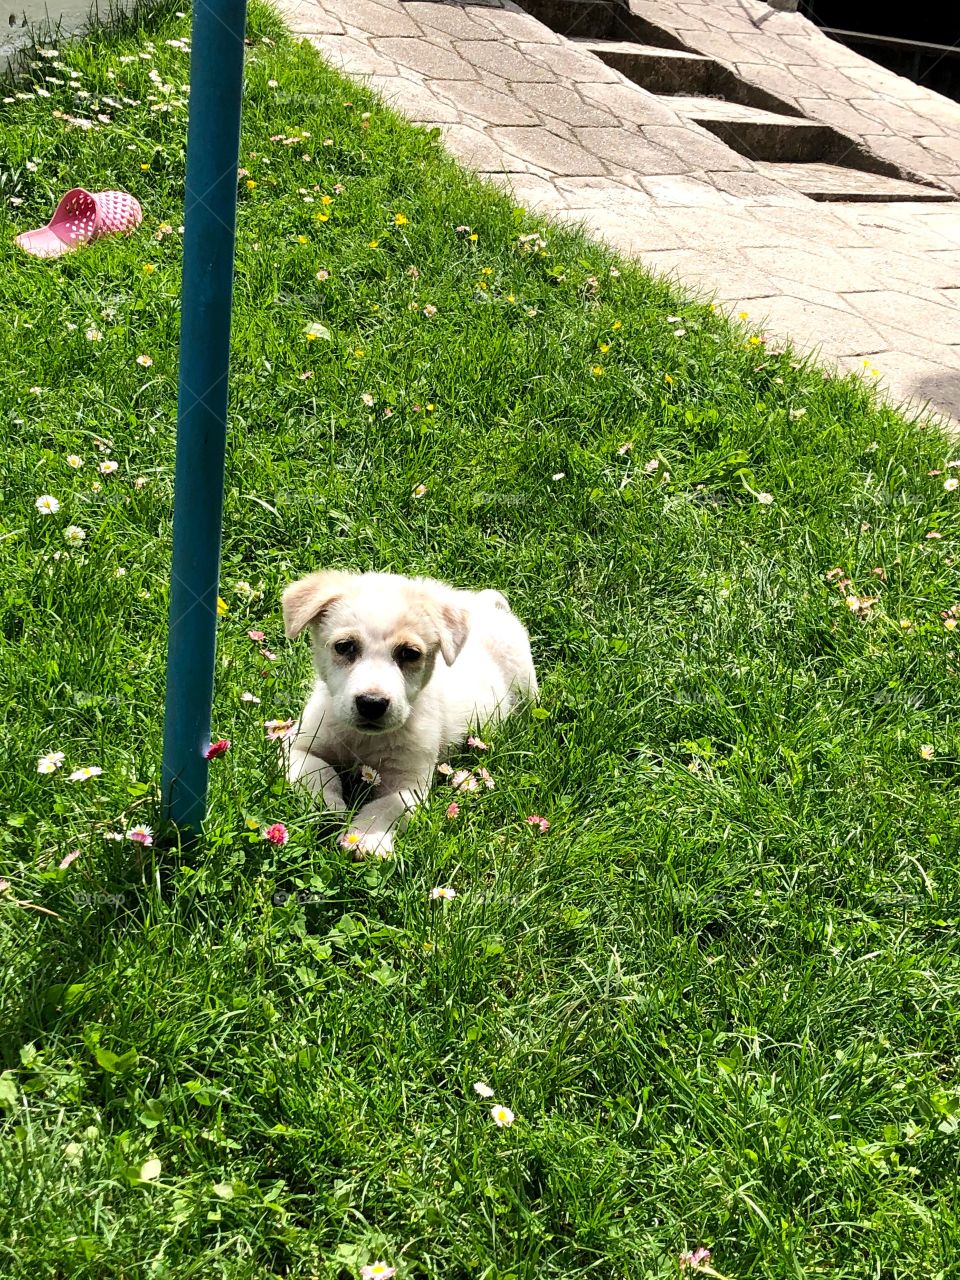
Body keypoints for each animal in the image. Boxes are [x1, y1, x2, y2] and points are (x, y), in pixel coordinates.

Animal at [284, 573, 542, 855]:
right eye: (344, 647)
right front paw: (328, 805)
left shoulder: (410, 783)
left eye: (409, 653)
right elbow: (318, 771)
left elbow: (385, 807)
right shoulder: (296, 746)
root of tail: (487, 606)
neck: (364, 740)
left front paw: (365, 837)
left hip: (527, 687)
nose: (372, 703)